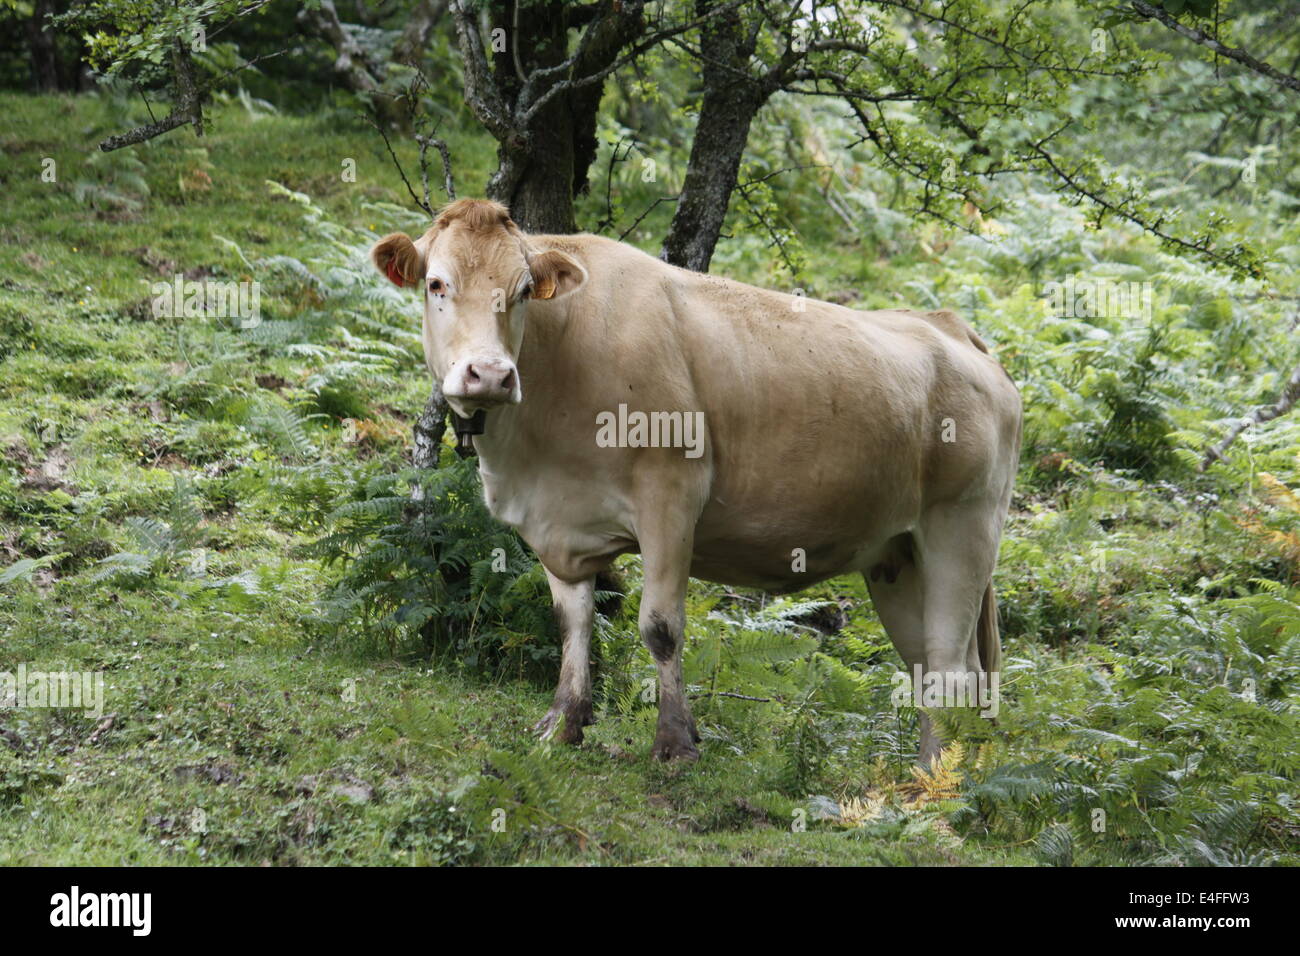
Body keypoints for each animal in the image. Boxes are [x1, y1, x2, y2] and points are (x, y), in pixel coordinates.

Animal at [372, 198, 1021, 764]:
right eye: (436, 285)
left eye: (525, 290)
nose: (490, 374)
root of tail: (949, 326)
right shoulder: (554, 524)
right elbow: (573, 622)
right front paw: (563, 723)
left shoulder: (671, 498)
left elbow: (660, 627)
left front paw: (675, 743)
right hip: (898, 555)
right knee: (934, 668)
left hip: (962, 527)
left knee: (950, 670)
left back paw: (931, 784)